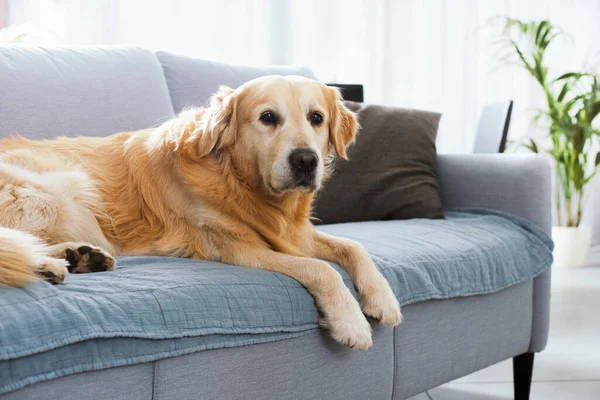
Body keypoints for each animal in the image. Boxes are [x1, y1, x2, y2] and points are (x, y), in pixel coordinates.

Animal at [1, 76, 404, 350]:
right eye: (268, 117)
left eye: (316, 118)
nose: (306, 161)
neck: (238, 180)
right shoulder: (239, 249)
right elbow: (322, 269)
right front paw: (351, 321)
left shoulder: (296, 234)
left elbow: (354, 247)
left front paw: (383, 298)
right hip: (60, 190)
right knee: (17, 244)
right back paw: (49, 264)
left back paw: (78, 257)